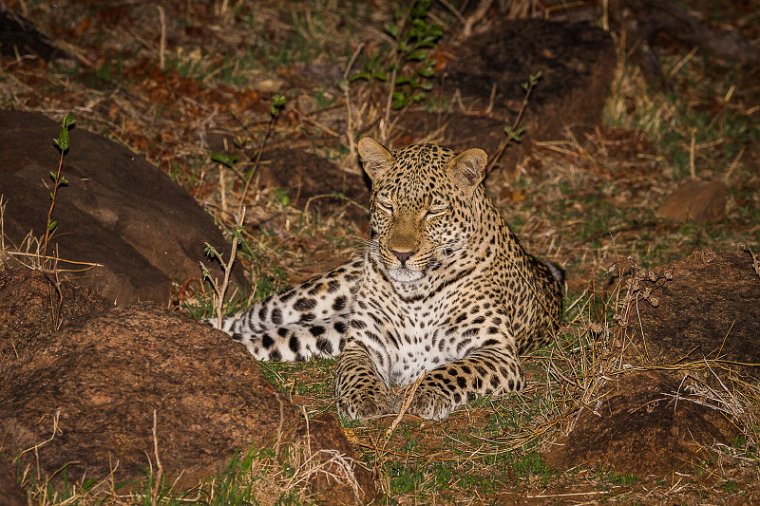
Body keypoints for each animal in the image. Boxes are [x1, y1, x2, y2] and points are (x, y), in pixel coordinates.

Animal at [209, 137, 564, 420]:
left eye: (434, 211)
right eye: (387, 205)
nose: (401, 253)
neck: (417, 290)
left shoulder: (497, 352)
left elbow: (454, 369)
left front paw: (422, 394)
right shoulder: (365, 343)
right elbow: (356, 370)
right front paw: (365, 399)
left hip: (326, 330)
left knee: (263, 338)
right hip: (311, 298)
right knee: (247, 318)